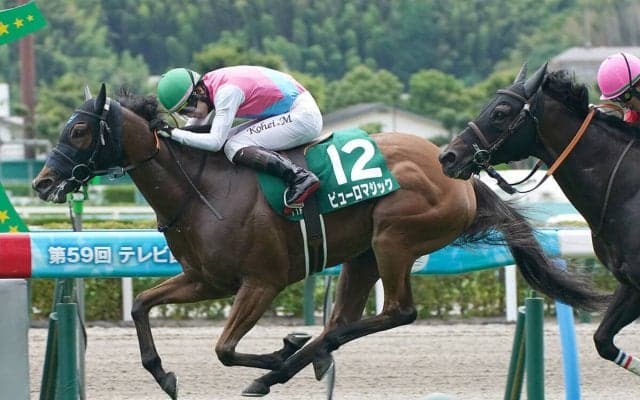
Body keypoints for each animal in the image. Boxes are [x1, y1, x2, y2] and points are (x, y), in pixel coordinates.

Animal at [32, 83, 606, 399]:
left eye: (79, 132)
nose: (42, 182)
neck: (202, 188)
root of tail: (458, 172)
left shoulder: (259, 283)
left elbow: (224, 350)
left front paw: (276, 354)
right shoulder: (205, 279)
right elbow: (142, 306)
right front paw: (164, 374)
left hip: (395, 239)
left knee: (392, 314)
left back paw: (294, 360)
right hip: (362, 256)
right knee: (344, 320)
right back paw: (305, 358)